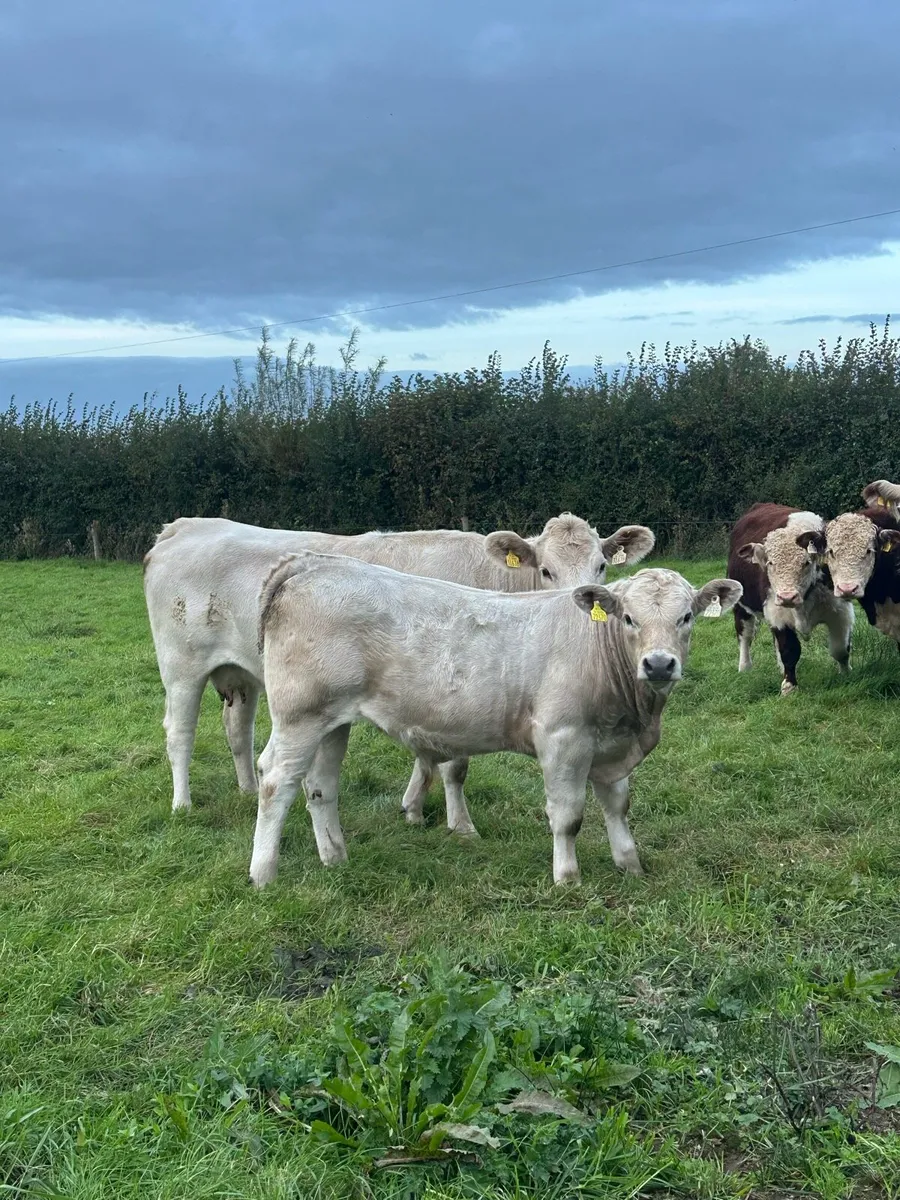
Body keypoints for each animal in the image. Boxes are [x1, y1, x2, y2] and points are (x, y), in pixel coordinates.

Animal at [143, 514, 655, 832]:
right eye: (546, 570)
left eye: (602, 565)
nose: (579, 610)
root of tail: (185, 527)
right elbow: (453, 765)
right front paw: (460, 824)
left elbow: (429, 755)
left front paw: (412, 808)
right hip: (181, 666)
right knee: (179, 733)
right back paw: (182, 804)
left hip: (240, 672)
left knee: (238, 729)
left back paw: (248, 789)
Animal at [250, 552, 741, 887]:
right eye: (628, 618)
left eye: (686, 616)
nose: (658, 664)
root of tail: (314, 563)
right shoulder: (563, 739)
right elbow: (568, 815)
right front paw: (568, 878)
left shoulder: (614, 745)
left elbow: (617, 806)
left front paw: (630, 864)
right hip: (299, 715)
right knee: (276, 780)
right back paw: (263, 873)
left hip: (332, 721)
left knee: (320, 787)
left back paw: (335, 857)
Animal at [726, 503, 854, 695]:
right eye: (770, 563)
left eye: (806, 562)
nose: (787, 596)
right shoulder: (778, 615)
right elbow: (789, 650)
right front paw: (789, 686)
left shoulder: (841, 612)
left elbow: (840, 648)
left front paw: (846, 674)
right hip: (742, 606)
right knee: (745, 635)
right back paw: (745, 666)